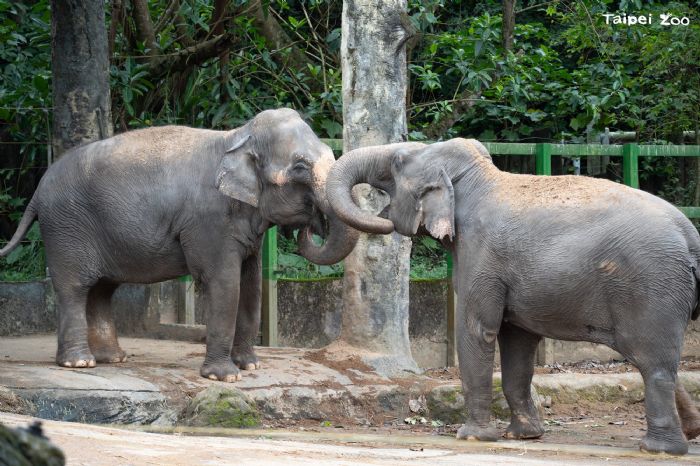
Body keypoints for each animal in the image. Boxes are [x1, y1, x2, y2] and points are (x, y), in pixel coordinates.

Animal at [0, 108, 358, 383]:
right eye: (300, 167)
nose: (313, 225)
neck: (236, 137)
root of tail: (38, 191)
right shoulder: (209, 221)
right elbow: (225, 282)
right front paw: (224, 377)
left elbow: (252, 283)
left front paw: (250, 366)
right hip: (66, 228)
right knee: (75, 287)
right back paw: (80, 363)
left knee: (102, 289)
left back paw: (113, 359)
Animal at [326, 137, 700, 455]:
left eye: (398, 162)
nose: (382, 222)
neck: (478, 178)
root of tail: (689, 235)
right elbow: (518, 343)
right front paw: (524, 435)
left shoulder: (481, 256)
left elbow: (477, 330)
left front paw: (472, 436)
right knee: (649, 358)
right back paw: (689, 432)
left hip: (652, 286)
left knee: (651, 361)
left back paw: (659, 449)